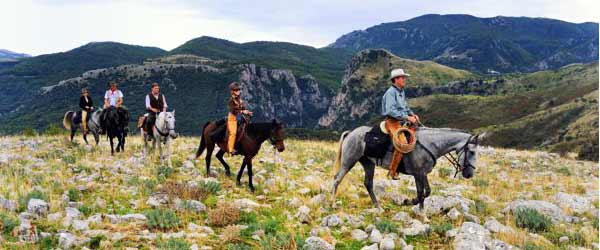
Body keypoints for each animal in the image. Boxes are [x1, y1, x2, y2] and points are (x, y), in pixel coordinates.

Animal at [332, 126, 488, 210]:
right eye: (472, 152)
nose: (469, 174)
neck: (429, 144)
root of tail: (351, 132)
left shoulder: (424, 173)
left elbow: (427, 192)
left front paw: (408, 202)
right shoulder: (418, 174)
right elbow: (420, 193)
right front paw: (422, 215)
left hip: (368, 163)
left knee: (368, 184)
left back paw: (378, 207)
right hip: (349, 161)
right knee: (337, 179)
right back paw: (333, 204)